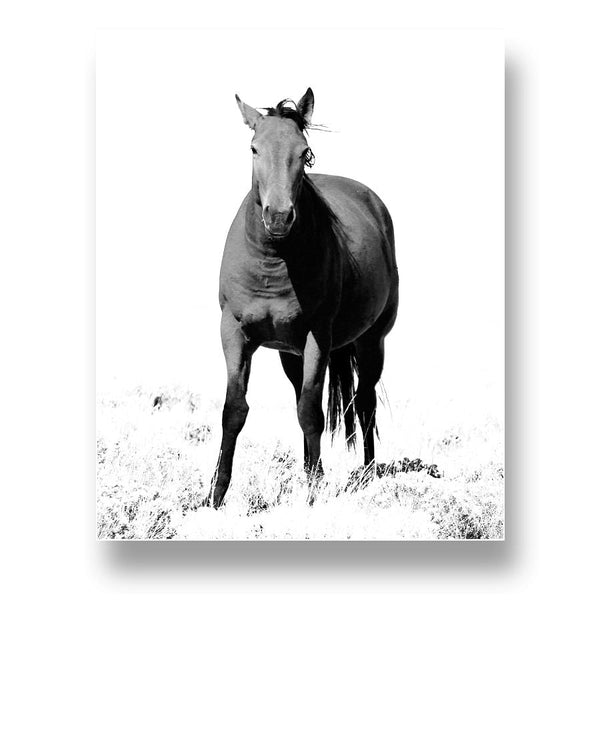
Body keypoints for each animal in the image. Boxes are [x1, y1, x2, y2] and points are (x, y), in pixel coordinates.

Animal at [209, 88, 398, 508]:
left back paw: (366, 475)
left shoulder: (318, 337)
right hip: (290, 353)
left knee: (363, 404)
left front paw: (313, 492)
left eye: (304, 151)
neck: (274, 261)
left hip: (371, 341)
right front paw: (214, 496)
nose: (279, 217)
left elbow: (313, 412)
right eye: (254, 148)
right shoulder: (234, 334)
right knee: (307, 398)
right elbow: (235, 410)